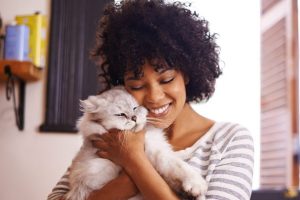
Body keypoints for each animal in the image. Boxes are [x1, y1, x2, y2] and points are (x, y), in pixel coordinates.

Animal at [65, 86, 206, 200]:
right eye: (121, 114)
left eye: (135, 108)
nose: (134, 118)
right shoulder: (156, 153)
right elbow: (179, 167)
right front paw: (196, 186)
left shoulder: (159, 148)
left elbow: (179, 162)